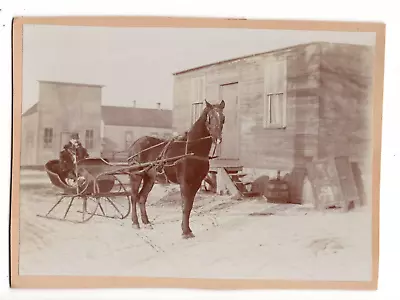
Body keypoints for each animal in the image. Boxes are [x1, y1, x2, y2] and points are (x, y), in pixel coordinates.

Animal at [128, 99, 225, 238]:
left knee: (142, 197)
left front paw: (188, 230)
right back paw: (135, 223)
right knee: (134, 197)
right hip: (136, 175)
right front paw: (185, 232)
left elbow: (189, 206)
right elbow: (185, 206)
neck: (191, 150)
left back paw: (146, 222)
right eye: (210, 117)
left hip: (150, 178)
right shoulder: (184, 182)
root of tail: (135, 144)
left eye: (223, 118)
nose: (218, 139)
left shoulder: (196, 182)